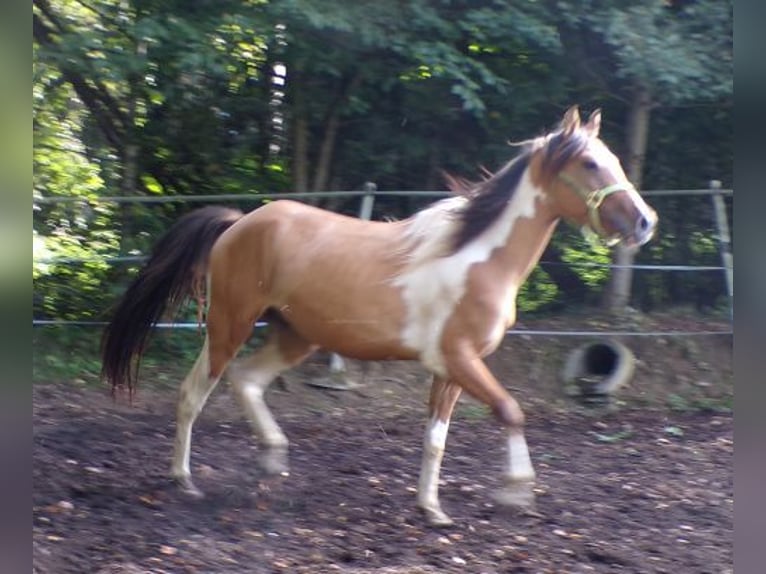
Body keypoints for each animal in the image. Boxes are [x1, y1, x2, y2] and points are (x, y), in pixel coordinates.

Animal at [101, 106, 657, 526]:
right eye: (589, 163)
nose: (644, 222)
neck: (478, 259)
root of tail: (238, 223)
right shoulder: (461, 359)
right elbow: (510, 410)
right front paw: (516, 490)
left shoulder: (449, 369)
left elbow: (436, 439)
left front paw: (432, 509)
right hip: (230, 324)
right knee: (194, 392)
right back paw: (185, 480)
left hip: (295, 335)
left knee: (247, 381)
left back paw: (273, 458)